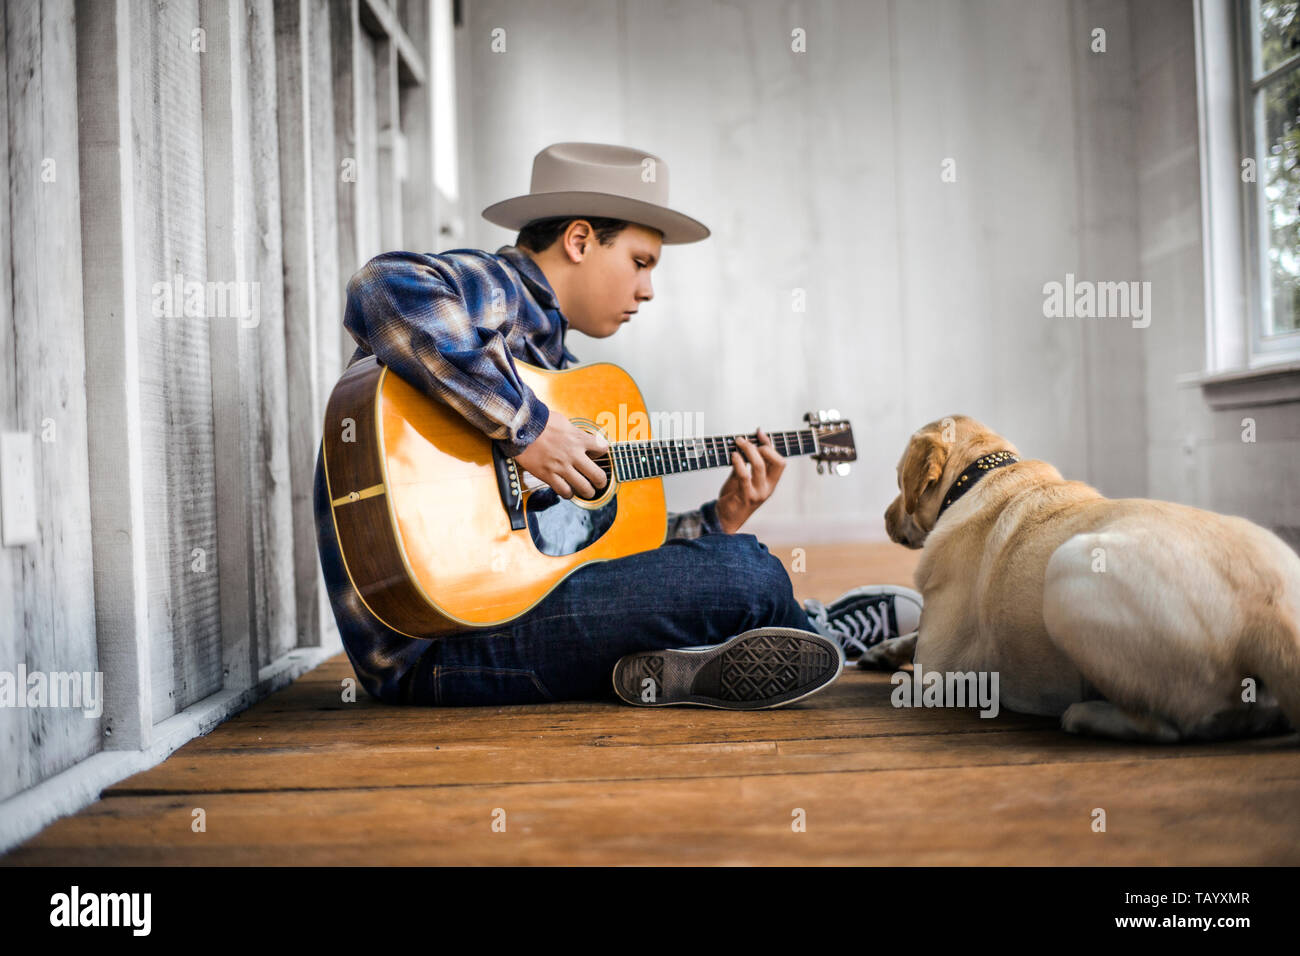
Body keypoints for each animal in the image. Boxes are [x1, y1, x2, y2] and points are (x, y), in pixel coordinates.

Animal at [883, 416, 1300, 743]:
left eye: (898, 479)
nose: (886, 518)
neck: (980, 476)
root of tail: (1270, 611)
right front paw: (884, 648)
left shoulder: (934, 670)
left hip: (1067, 572)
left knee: (1177, 726)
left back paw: (1086, 715)